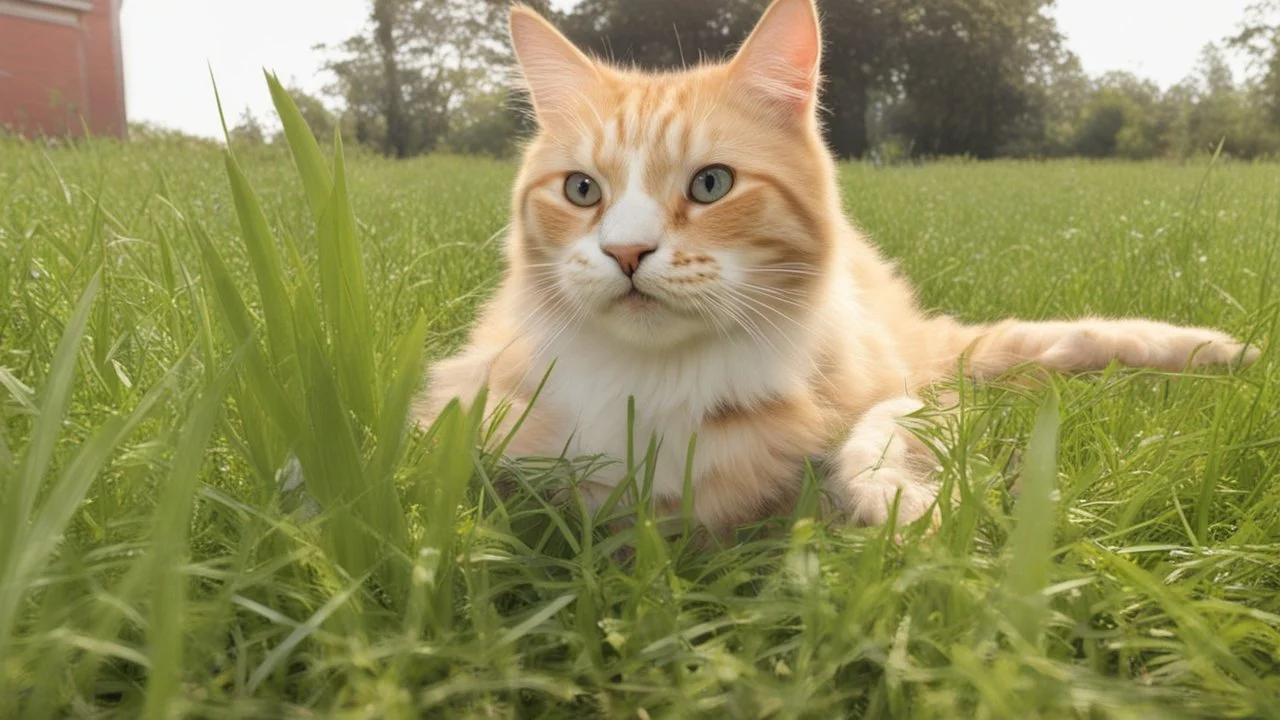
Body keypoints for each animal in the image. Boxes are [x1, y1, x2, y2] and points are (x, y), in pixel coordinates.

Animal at [412, 0, 1259, 532]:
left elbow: (877, 428)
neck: (659, 386)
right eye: (582, 190)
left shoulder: (906, 388)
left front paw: (901, 501)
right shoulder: (467, 416)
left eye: (711, 185)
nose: (625, 253)